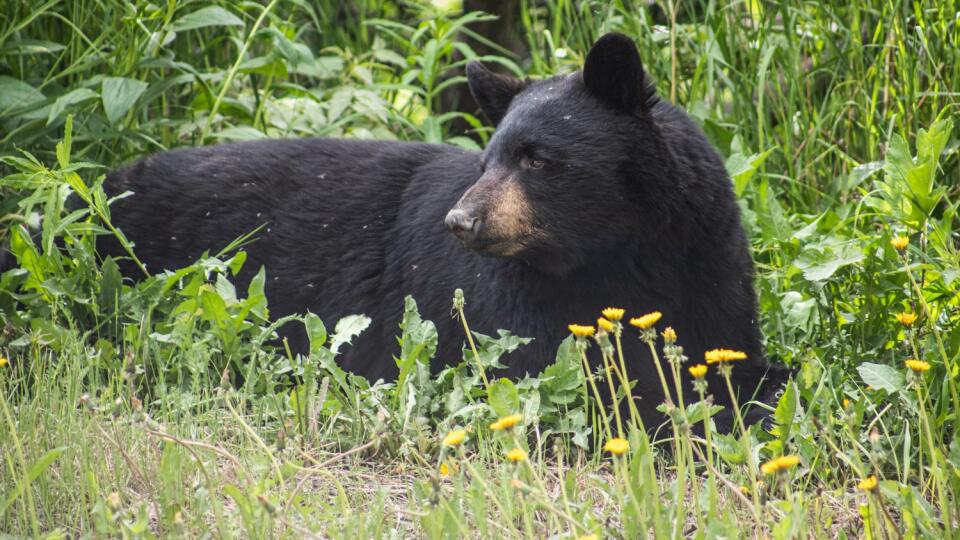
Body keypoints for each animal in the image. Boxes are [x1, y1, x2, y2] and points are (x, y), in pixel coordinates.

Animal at [101, 33, 784, 428]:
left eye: (536, 159)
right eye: (488, 160)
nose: (461, 220)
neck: (617, 255)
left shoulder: (706, 262)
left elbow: (731, 354)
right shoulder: (505, 309)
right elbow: (567, 377)